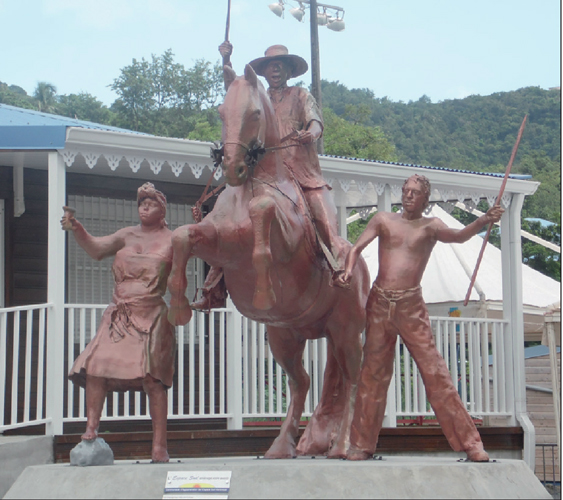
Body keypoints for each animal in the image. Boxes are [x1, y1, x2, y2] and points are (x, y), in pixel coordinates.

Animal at [166, 64, 370, 458]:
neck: (250, 187)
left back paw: (342, 446)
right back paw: (282, 445)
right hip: (285, 336)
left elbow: (263, 212)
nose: (233, 167)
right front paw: (181, 304)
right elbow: (183, 236)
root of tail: (361, 266)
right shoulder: (222, 245)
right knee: (302, 382)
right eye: (221, 112)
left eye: (255, 114)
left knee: (352, 378)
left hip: (347, 330)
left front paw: (264, 294)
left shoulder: (286, 242)